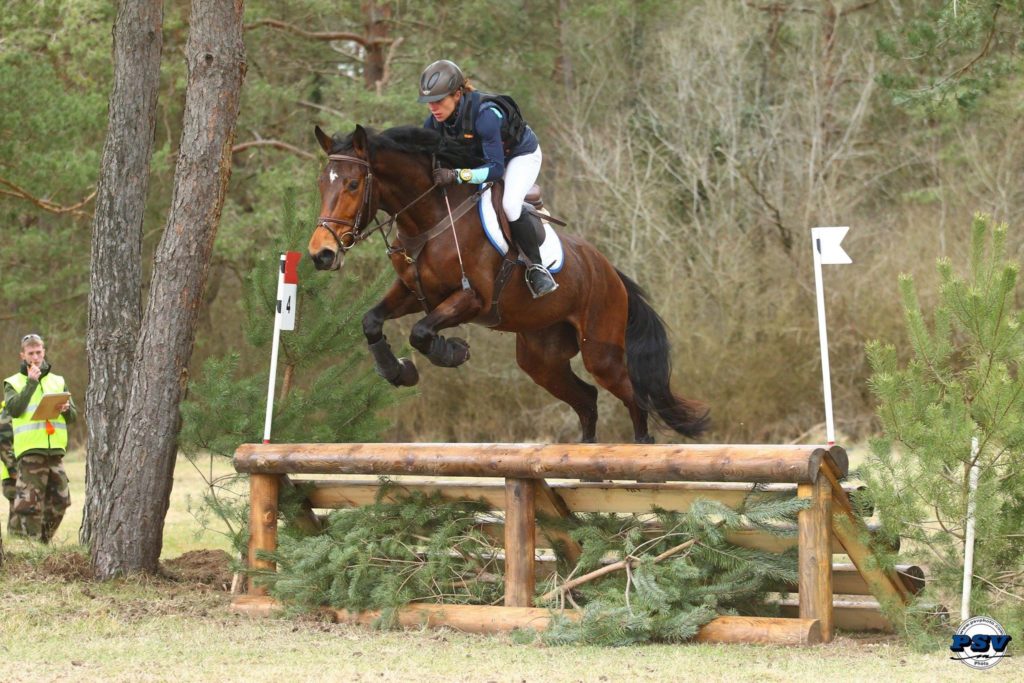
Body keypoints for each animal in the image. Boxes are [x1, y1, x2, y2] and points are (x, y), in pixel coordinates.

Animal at [311, 122, 708, 444]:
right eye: (320, 184)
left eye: (352, 184)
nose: (322, 254)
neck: (430, 220)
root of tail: (610, 271)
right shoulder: (413, 292)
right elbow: (371, 321)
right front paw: (398, 371)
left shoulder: (473, 299)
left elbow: (421, 332)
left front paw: (452, 351)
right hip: (541, 357)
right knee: (587, 399)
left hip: (601, 351)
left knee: (633, 397)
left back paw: (639, 453)